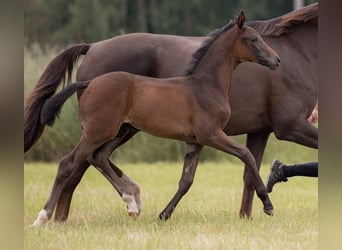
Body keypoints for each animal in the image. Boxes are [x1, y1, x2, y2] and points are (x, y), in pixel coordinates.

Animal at [24, 3, 318, 222]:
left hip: (120, 129)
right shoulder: (264, 128)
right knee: (73, 165)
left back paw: (127, 200)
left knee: (95, 158)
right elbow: (246, 158)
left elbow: (195, 179)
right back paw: (50, 217)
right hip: (102, 130)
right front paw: (267, 204)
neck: (205, 84)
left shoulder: (218, 137)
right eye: (254, 39)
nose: (276, 60)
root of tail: (92, 50)